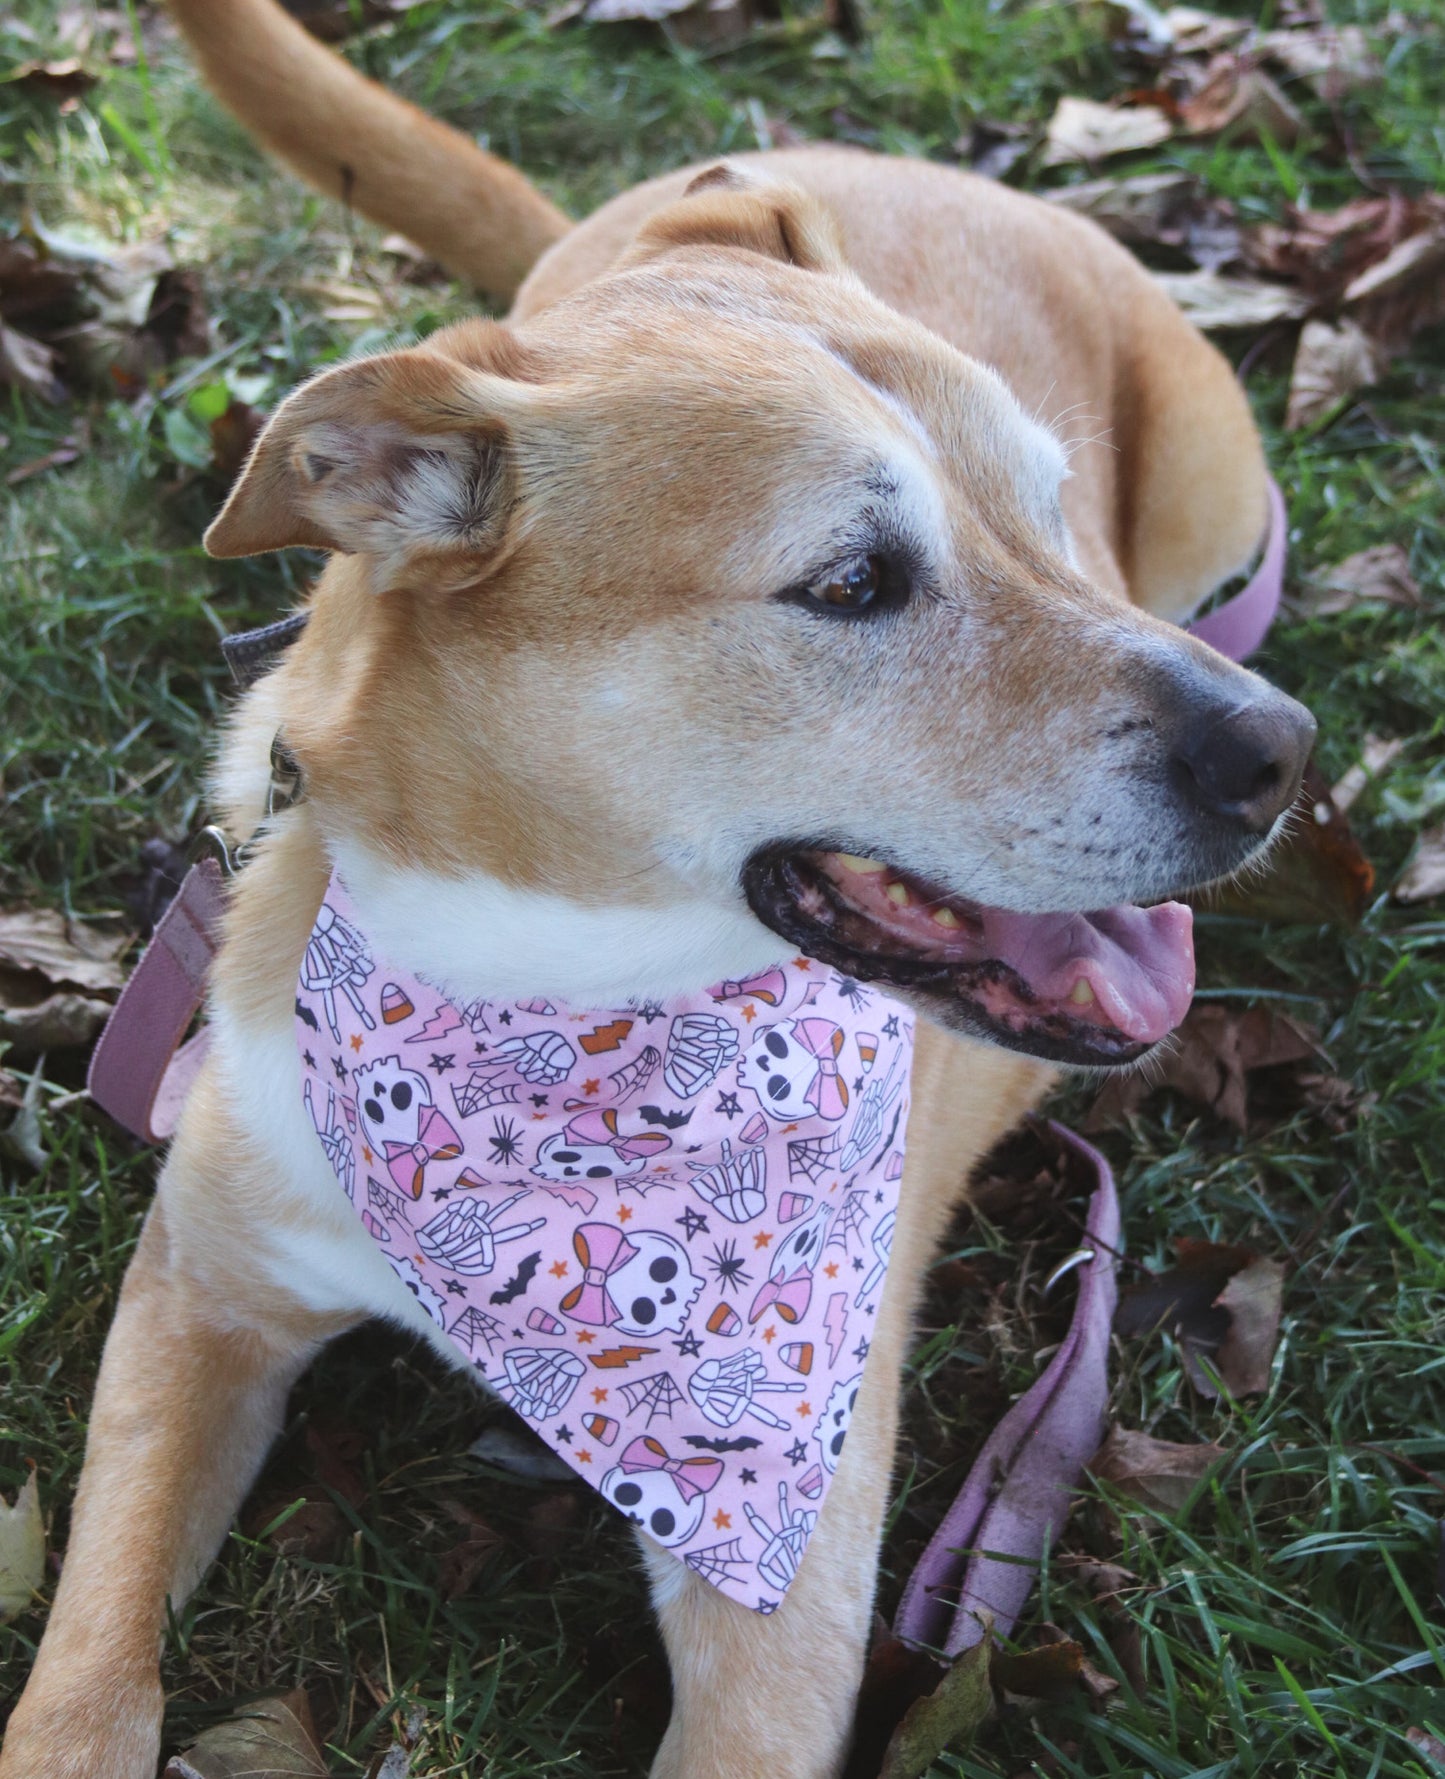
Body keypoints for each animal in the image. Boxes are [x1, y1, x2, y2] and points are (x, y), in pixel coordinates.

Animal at [0, 3, 1316, 1779]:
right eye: (852, 581)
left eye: (1054, 517)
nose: (1277, 752)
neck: (544, 1006)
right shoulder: (194, 1300)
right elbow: (84, 1668)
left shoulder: (783, 1589)